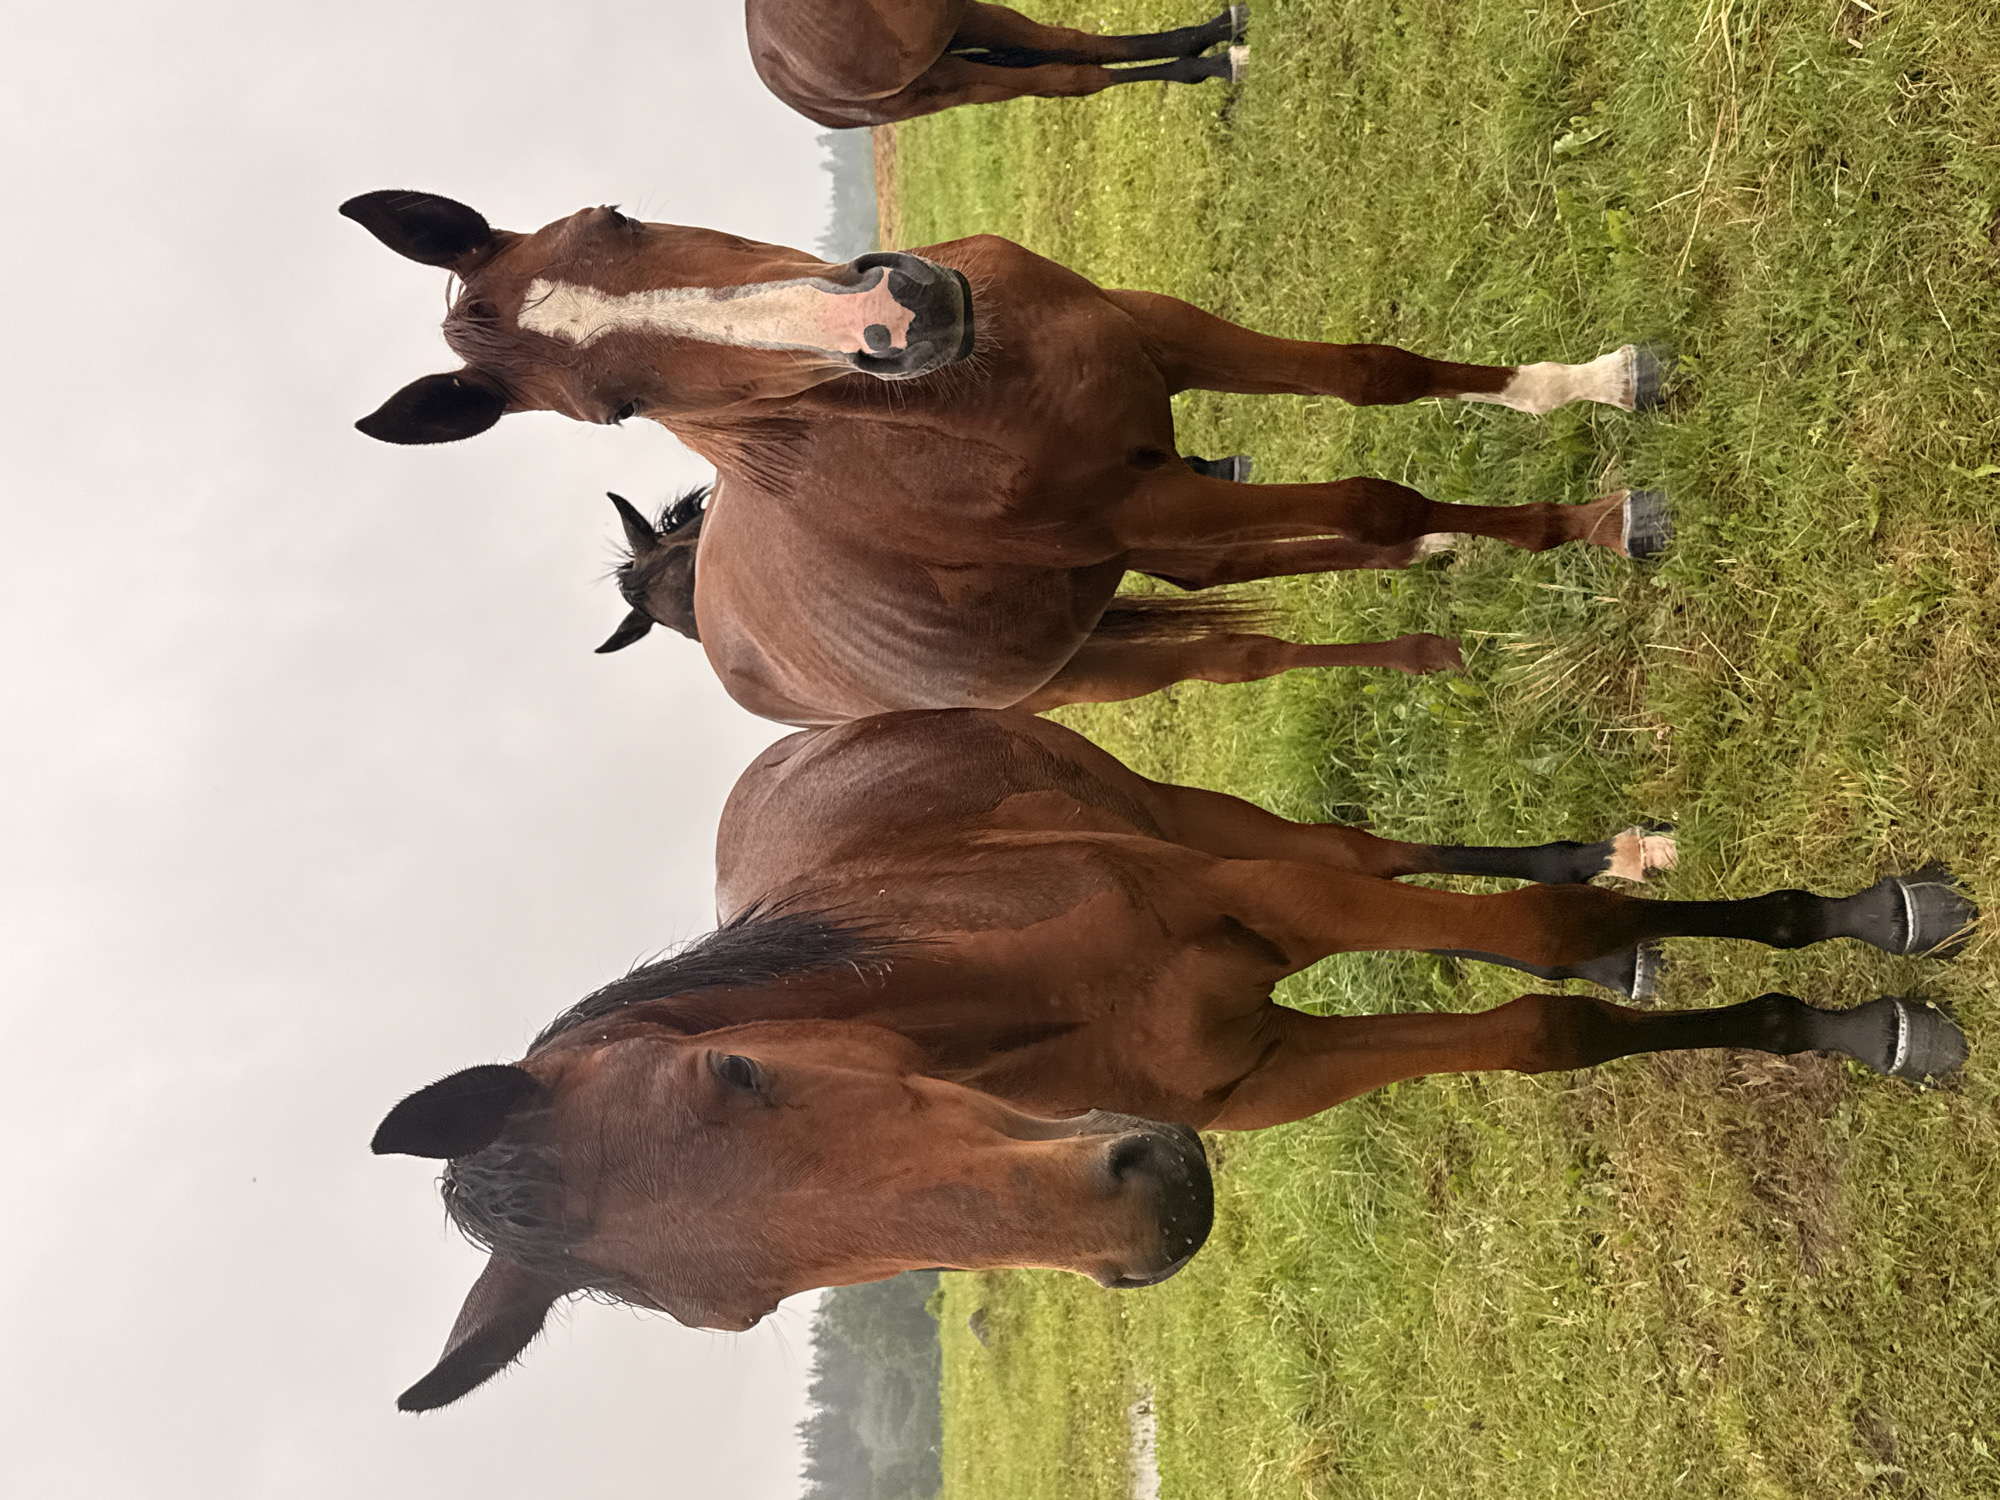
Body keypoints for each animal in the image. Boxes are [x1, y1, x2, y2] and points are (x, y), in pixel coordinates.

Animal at [342, 191, 1671, 726]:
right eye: (615, 406)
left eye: (610, 218)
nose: (899, 314)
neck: (973, 397)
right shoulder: (1148, 511)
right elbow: (1370, 496)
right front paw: (1596, 523)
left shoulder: (1157, 338)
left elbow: (1370, 374)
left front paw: (1597, 381)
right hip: (1097, 666)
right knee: (1243, 646)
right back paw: (1424, 636)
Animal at [373, 708, 1972, 1410]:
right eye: (746, 1308)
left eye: (737, 1077)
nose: (1146, 1209)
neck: (1049, 1002)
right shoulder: (1263, 1073)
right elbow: (1545, 1035)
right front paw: (1818, 1016)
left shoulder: (1283, 907)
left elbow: (1538, 929)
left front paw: (1862, 959)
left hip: (1210, 819)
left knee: (1384, 850)